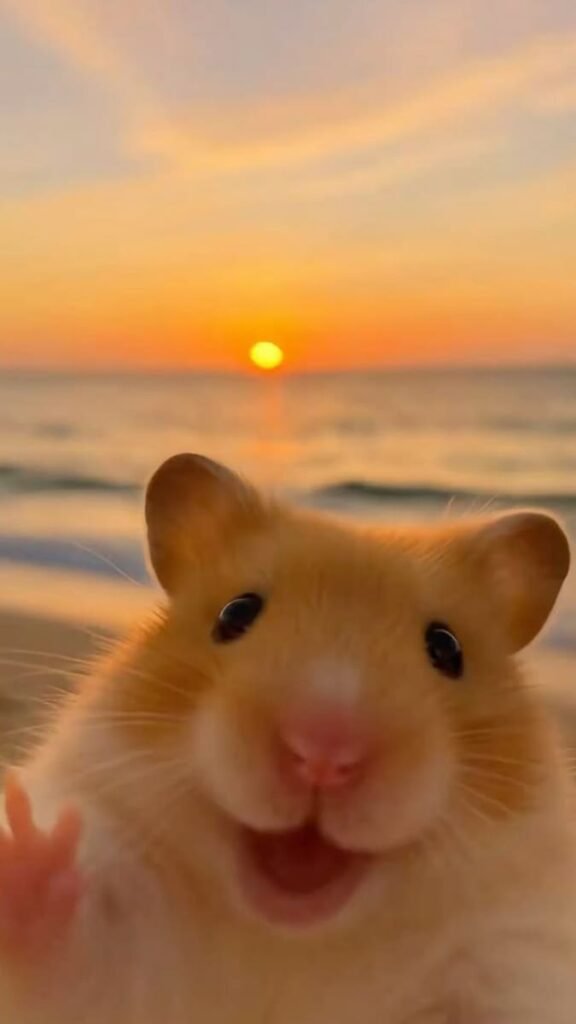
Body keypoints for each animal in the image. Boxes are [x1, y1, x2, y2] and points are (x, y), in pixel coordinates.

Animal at [1, 451, 576, 1024]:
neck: (290, 938)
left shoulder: (512, 966)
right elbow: (62, 960)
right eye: (236, 613)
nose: (323, 754)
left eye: (447, 649)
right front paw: (23, 847)